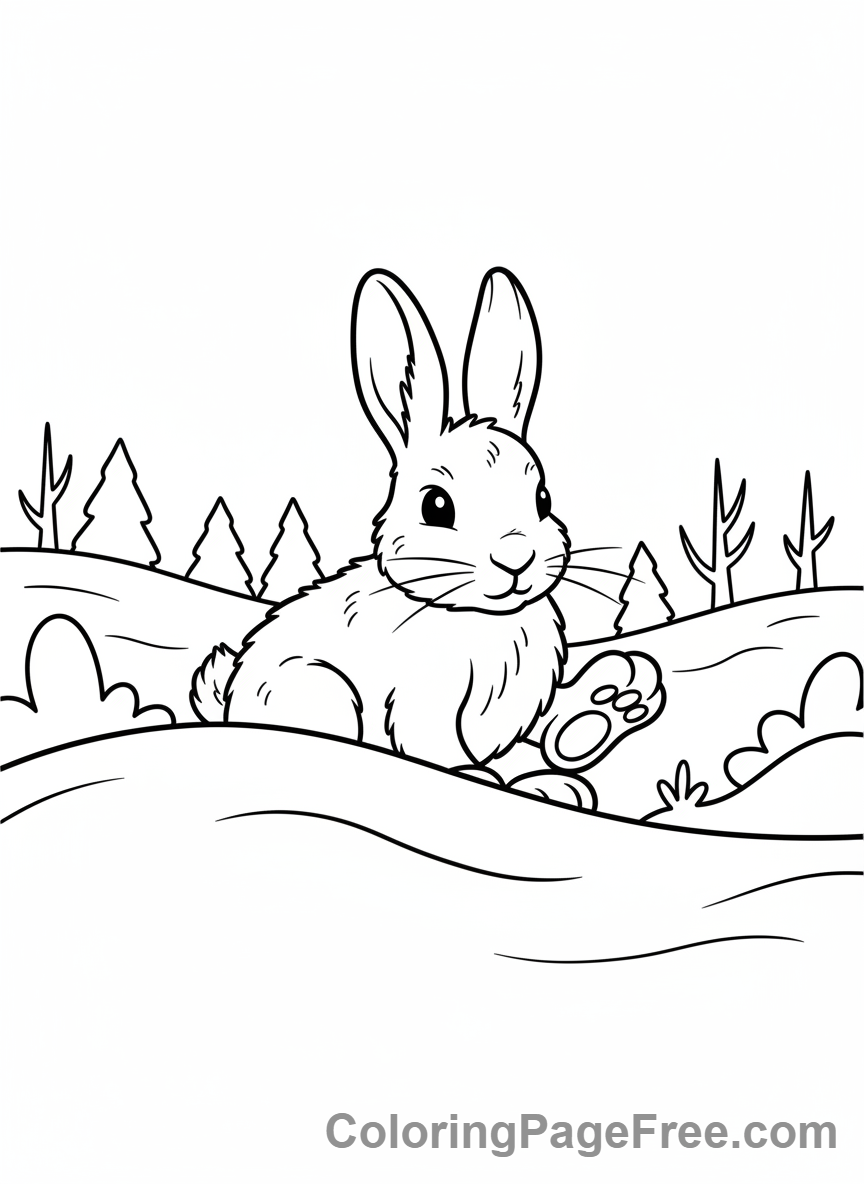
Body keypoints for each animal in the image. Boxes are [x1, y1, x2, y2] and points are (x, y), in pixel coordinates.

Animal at [191, 267, 573, 775]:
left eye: (542, 499)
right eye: (436, 506)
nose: (517, 558)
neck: (470, 613)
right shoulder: (426, 704)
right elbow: (437, 750)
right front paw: (478, 774)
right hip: (321, 690)